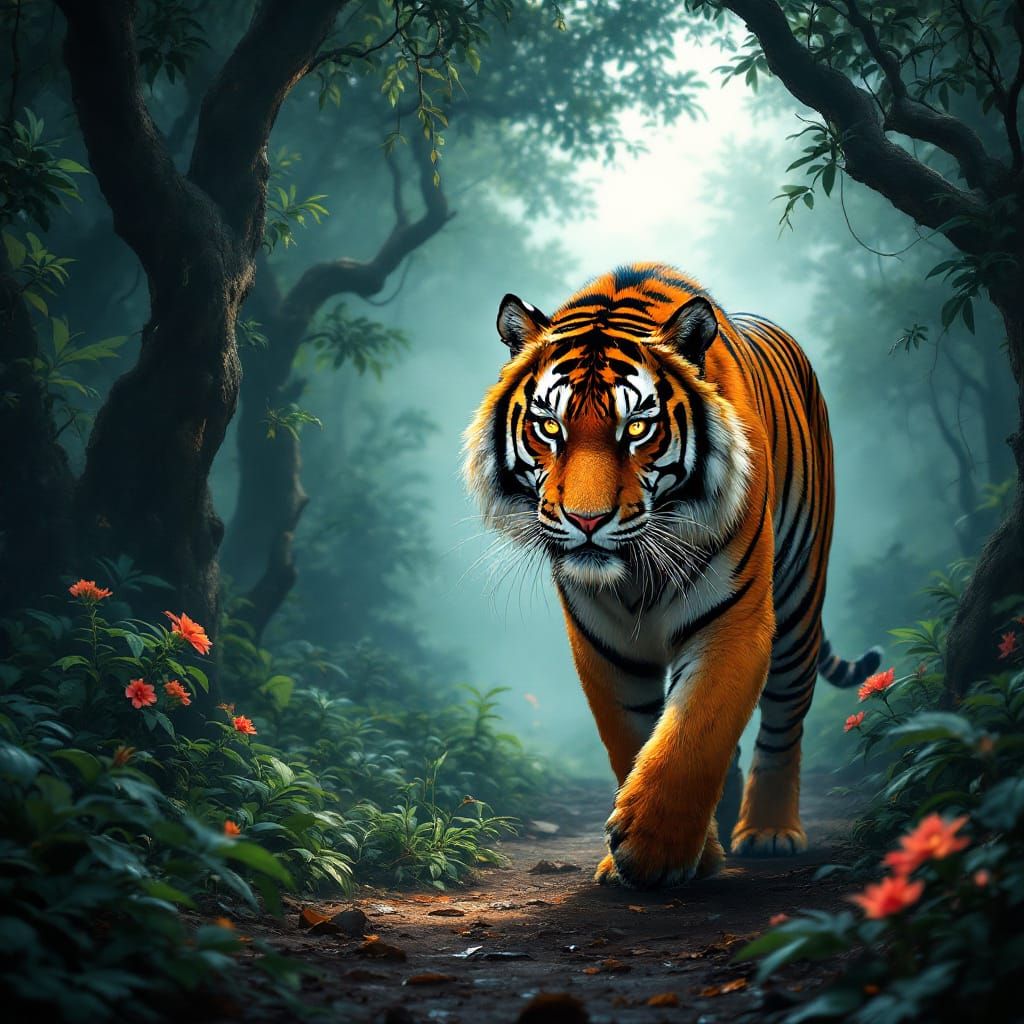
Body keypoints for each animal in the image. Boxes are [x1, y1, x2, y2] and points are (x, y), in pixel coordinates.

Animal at [464, 262, 881, 888]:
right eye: (549, 427)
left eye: (637, 428)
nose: (586, 521)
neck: (637, 571)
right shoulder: (603, 644)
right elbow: (632, 739)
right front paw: (663, 855)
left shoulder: (734, 620)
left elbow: (694, 733)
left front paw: (654, 851)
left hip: (799, 603)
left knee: (784, 723)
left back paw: (768, 832)